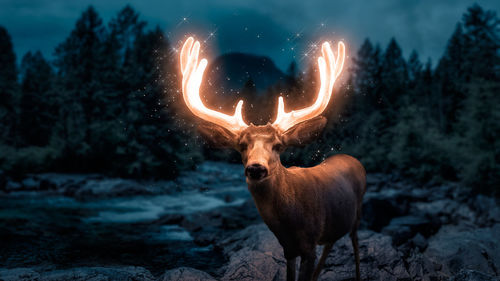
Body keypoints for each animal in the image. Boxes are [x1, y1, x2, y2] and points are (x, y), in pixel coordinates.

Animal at [178, 36, 366, 280]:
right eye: (241, 146)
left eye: (278, 146)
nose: (256, 168)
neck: (290, 221)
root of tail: (353, 159)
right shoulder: (288, 249)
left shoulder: (309, 243)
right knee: (331, 243)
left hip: (357, 213)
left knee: (354, 243)